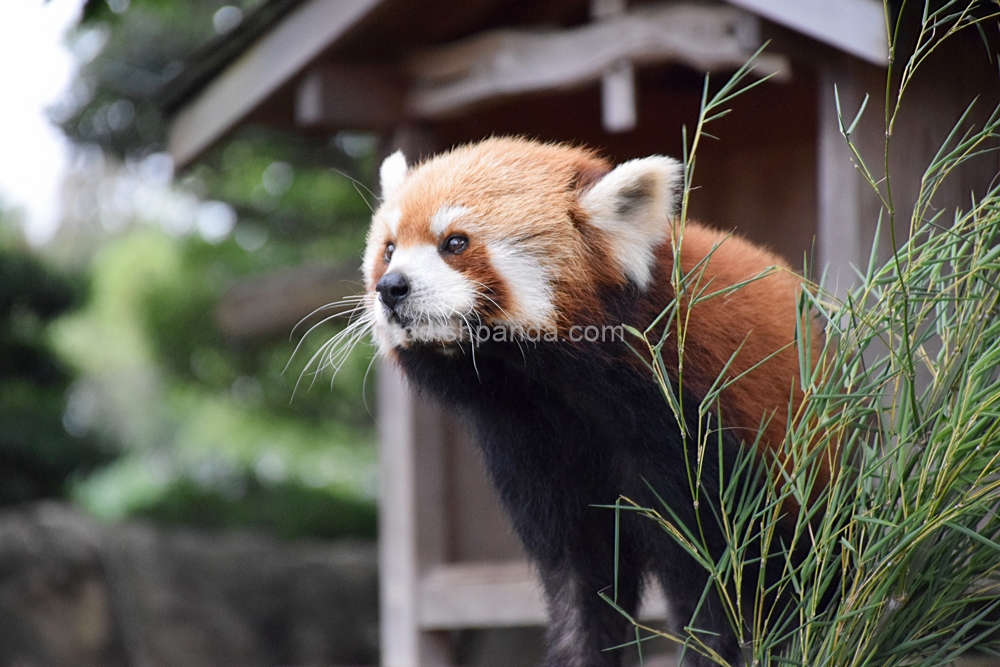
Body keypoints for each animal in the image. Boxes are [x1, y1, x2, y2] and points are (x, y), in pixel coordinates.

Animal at [364, 138, 824, 664]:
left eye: (455, 243)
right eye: (389, 249)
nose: (391, 287)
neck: (557, 394)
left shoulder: (697, 440)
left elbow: (712, 588)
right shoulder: (531, 454)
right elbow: (581, 588)